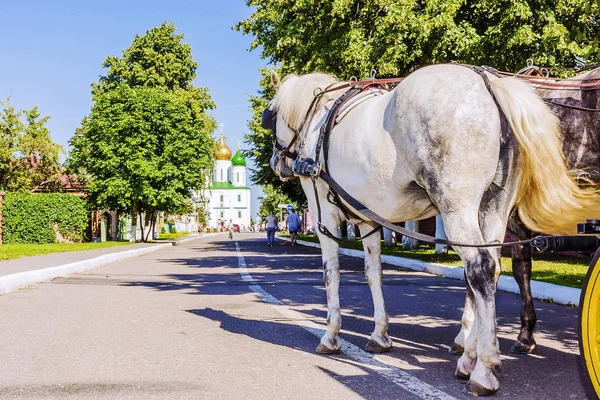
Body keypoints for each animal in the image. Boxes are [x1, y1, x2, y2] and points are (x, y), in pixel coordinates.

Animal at [268, 64, 600, 396]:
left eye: (269, 116)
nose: (277, 164)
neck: (318, 120)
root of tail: (488, 82)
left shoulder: (323, 212)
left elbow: (331, 273)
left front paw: (331, 335)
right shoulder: (368, 220)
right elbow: (374, 274)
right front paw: (380, 335)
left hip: (458, 205)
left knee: (480, 268)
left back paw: (484, 368)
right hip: (493, 207)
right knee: (490, 270)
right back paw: (469, 357)